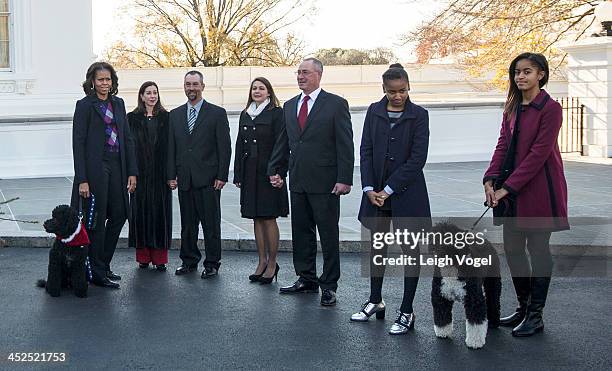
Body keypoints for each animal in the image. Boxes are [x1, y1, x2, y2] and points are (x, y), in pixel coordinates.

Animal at [428, 222, 500, 350]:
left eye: (449, 239)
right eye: (435, 238)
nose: (438, 252)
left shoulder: (474, 299)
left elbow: (476, 322)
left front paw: (475, 342)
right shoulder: (440, 296)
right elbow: (442, 314)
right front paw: (443, 332)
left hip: (493, 282)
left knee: (493, 300)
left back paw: (493, 322)